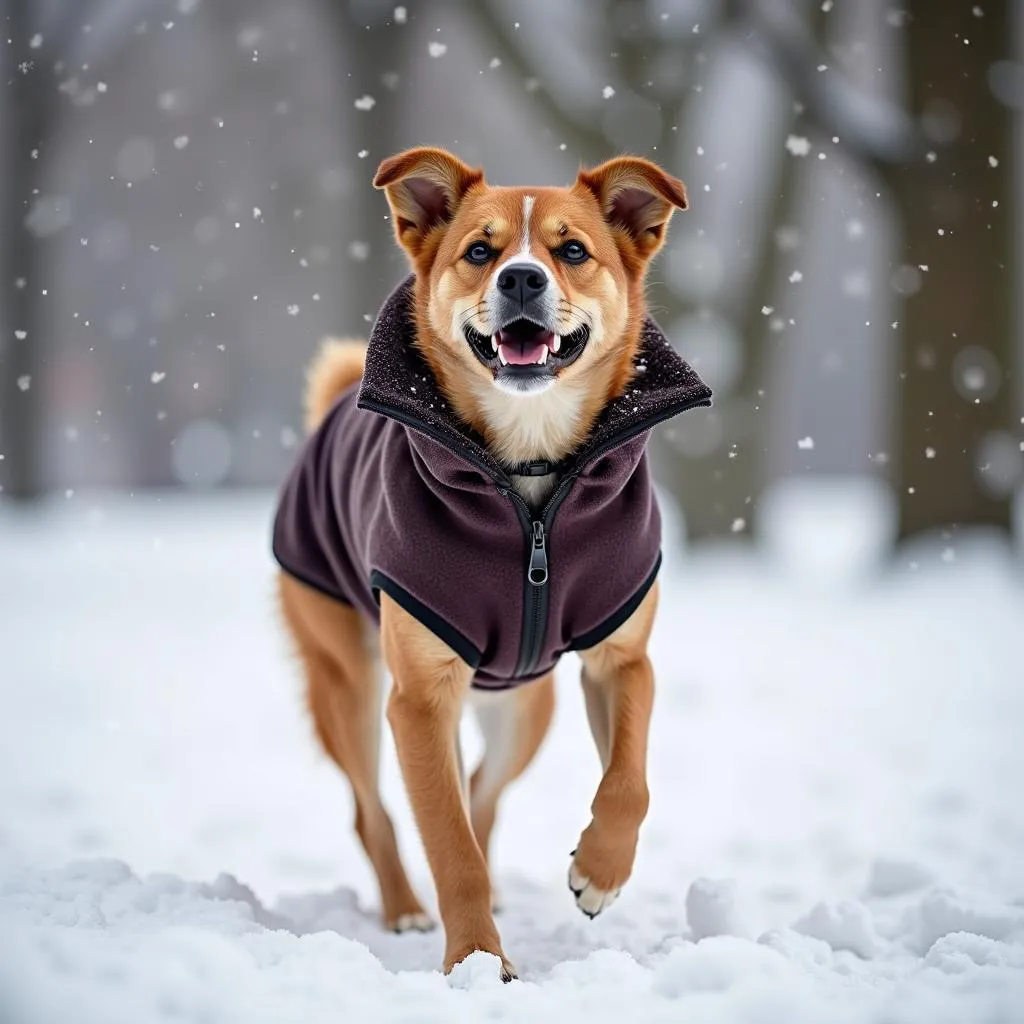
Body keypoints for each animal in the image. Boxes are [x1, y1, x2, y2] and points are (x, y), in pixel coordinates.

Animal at [276, 146, 716, 974]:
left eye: (571, 250)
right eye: (481, 252)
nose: (520, 279)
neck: (529, 470)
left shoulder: (621, 657)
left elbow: (629, 782)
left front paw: (599, 871)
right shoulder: (418, 698)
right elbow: (450, 848)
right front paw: (479, 963)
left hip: (524, 705)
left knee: (481, 788)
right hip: (350, 682)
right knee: (375, 812)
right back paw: (406, 911)